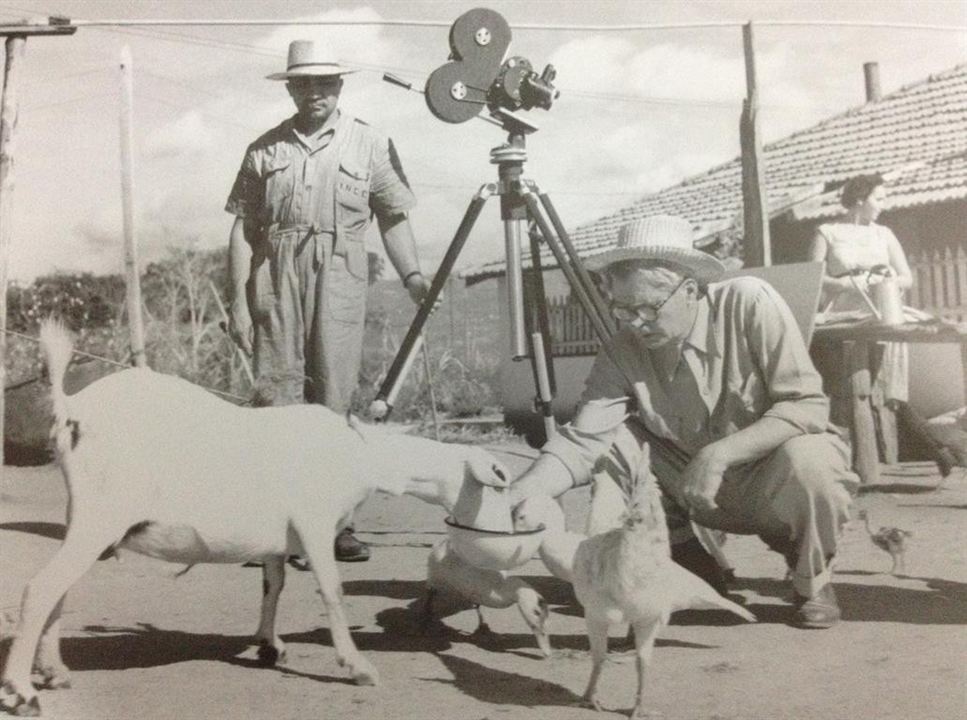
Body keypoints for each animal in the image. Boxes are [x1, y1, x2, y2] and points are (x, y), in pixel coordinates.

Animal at [0, 324, 510, 716]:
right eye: (499, 483)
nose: (503, 538)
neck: (359, 452)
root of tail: (73, 408)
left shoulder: (278, 537)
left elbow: (273, 584)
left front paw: (269, 644)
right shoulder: (314, 523)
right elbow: (332, 590)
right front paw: (358, 667)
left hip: (86, 518)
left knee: (60, 589)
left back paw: (55, 672)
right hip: (102, 516)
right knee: (41, 588)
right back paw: (23, 691)